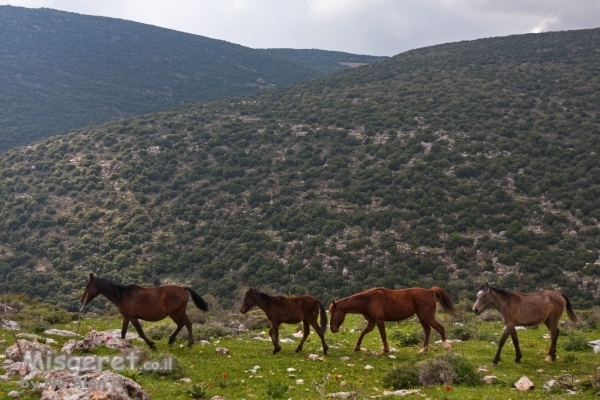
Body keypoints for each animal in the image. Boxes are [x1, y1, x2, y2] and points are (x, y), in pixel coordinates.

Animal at [81, 274, 209, 348]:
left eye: (87, 286)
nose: (82, 300)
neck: (122, 296)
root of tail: (183, 288)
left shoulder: (133, 317)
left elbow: (141, 332)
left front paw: (151, 344)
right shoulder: (126, 317)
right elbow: (123, 332)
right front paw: (120, 345)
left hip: (174, 313)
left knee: (181, 324)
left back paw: (172, 340)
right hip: (181, 312)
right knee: (188, 324)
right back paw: (189, 343)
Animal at [328, 288, 460, 354]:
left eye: (333, 313)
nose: (332, 329)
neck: (368, 300)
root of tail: (429, 291)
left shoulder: (379, 320)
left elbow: (383, 335)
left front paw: (386, 350)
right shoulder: (371, 322)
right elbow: (363, 332)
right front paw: (357, 347)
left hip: (427, 317)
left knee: (440, 328)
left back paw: (447, 347)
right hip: (422, 317)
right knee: (427, 330)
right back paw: (423, 350)